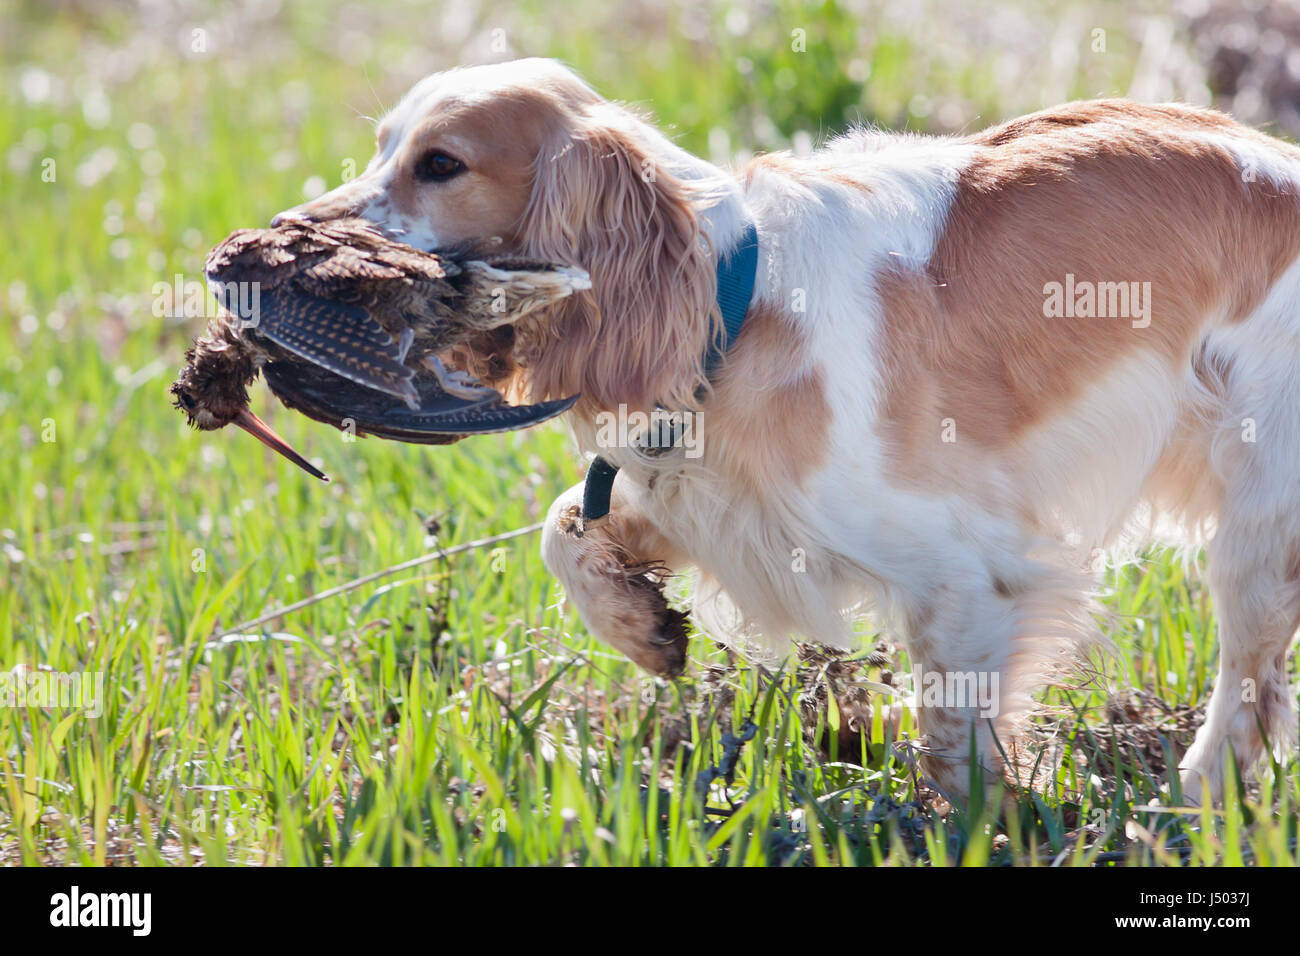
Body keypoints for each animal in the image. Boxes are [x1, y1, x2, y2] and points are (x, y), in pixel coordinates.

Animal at [279, 55, 1300, 806]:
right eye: (382, 149)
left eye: (440, 164)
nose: (289, 229)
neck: (733, 301)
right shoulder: (701, 497)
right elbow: (564, 528)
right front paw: (644, 629)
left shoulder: (968, 572)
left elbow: (951, 743)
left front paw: (981, 821)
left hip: (1261, 528)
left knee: (1248, 685)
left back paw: (1191, 802)